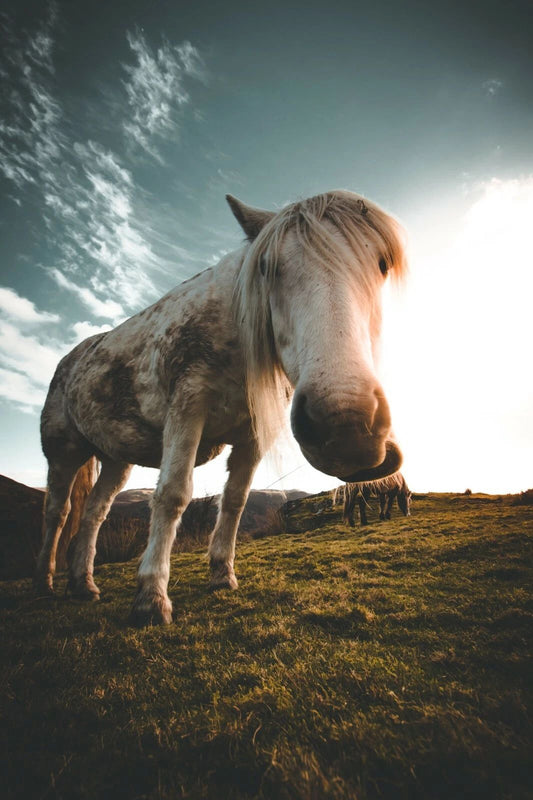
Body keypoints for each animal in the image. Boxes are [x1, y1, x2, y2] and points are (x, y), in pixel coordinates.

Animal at [35, 189, 408, 625]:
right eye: (267, 268)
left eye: (381, 264)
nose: (345, 430)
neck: (236, 335)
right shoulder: (186, 411)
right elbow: (172, 495)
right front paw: (151, 597)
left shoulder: (252, 436)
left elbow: (234, 501)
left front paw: (221, 575)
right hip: (63, 453)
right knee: (57, 514)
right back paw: (44, 585)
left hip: (115, 460)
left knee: (94, 514)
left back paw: (83, 585)